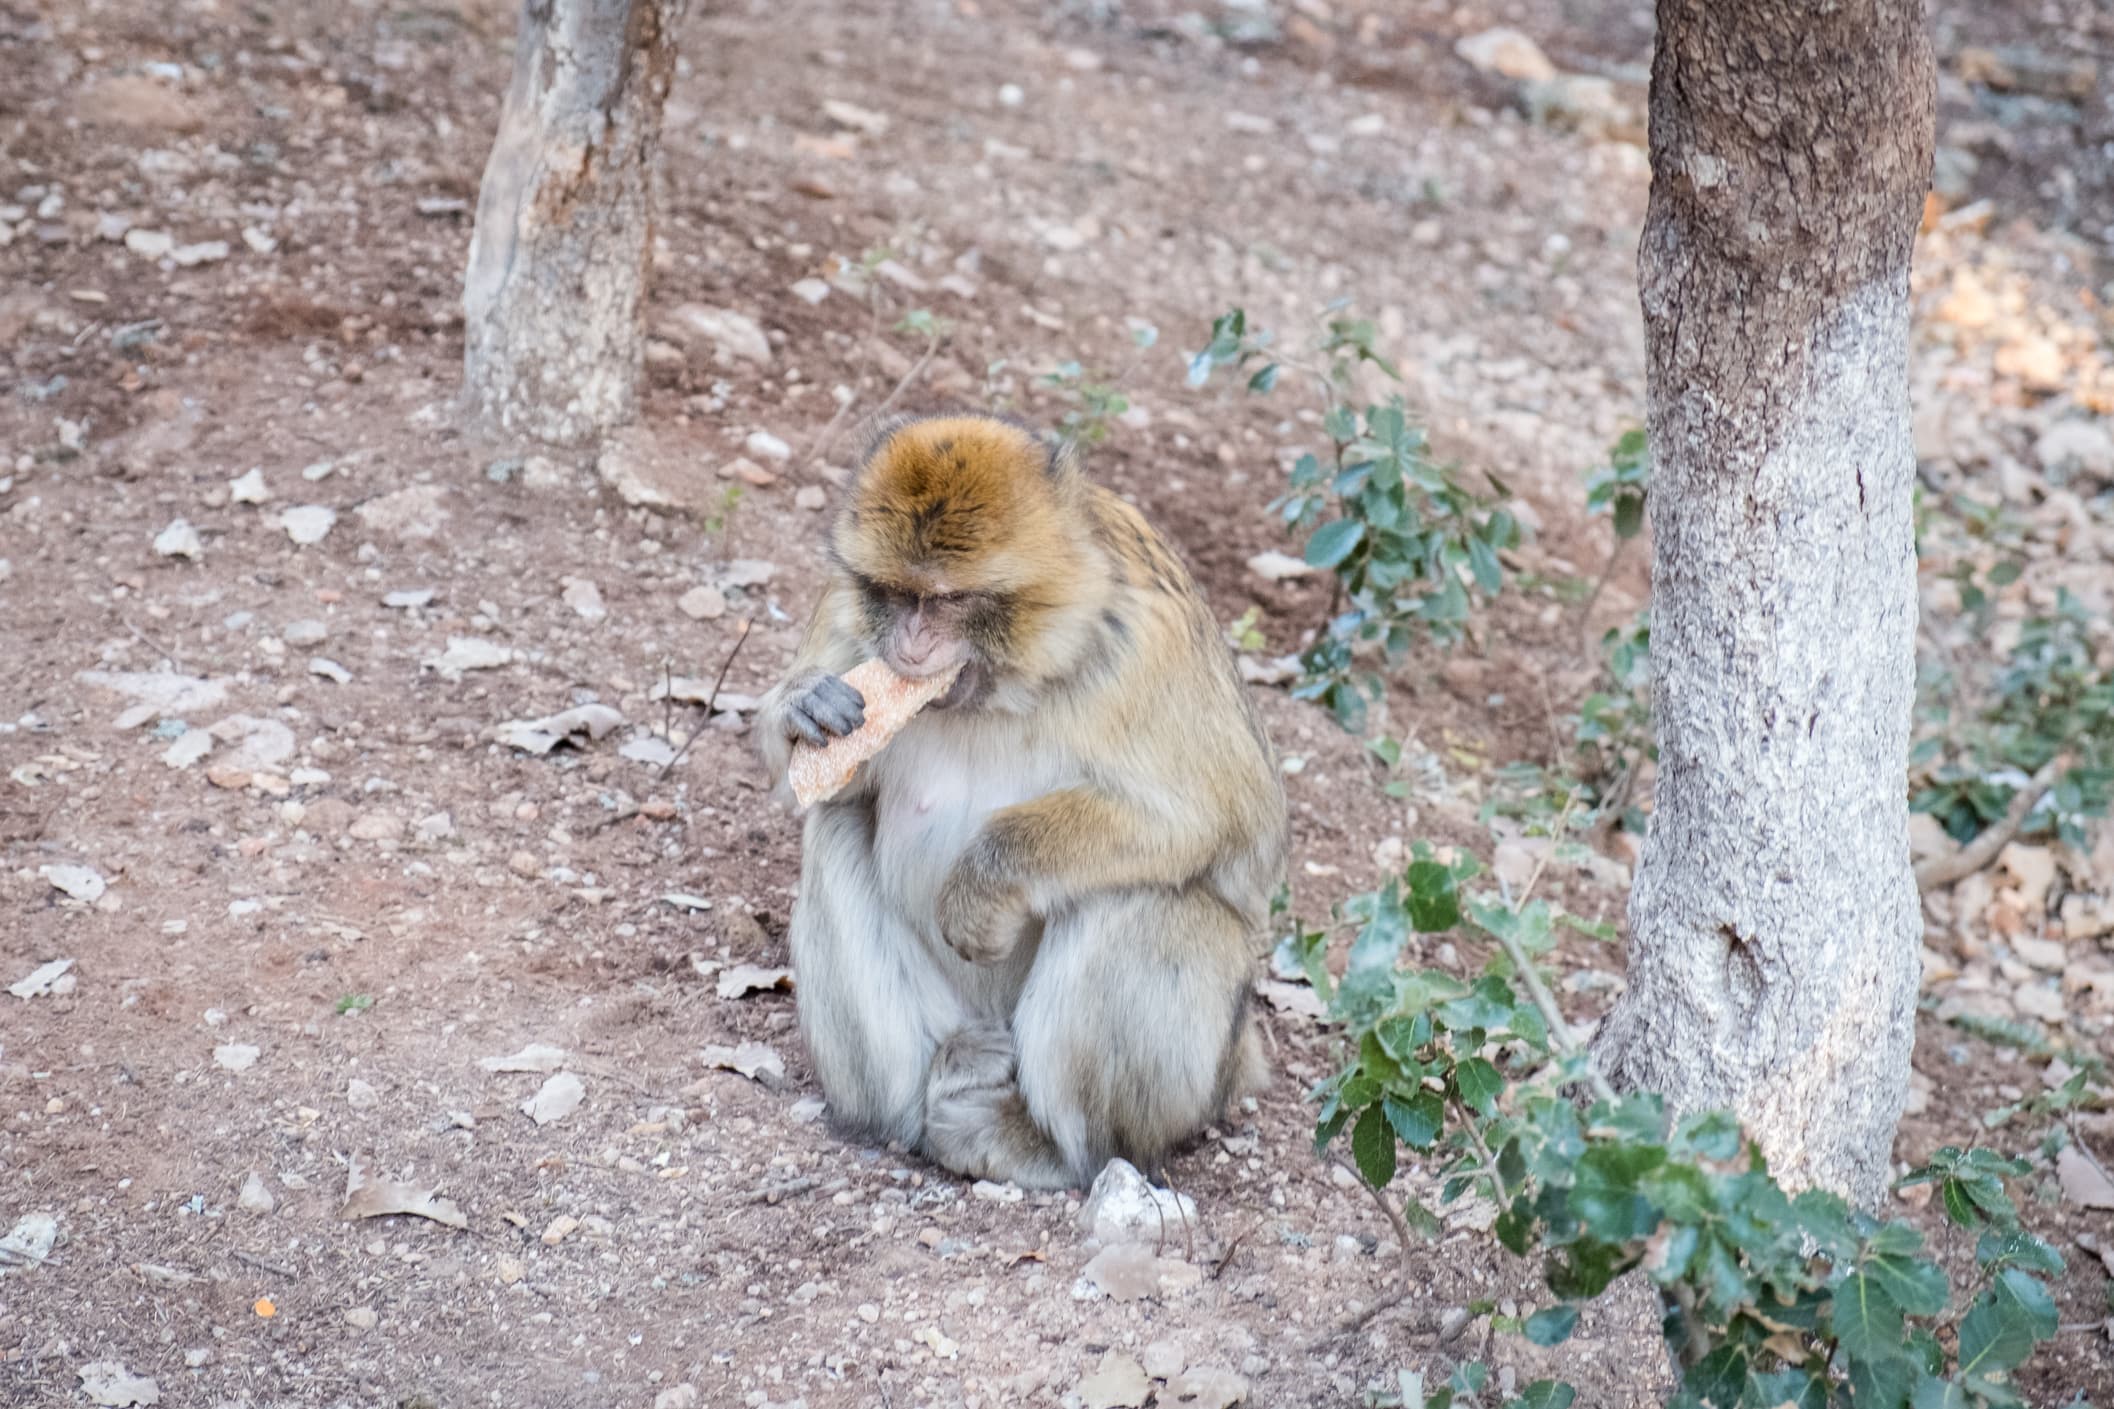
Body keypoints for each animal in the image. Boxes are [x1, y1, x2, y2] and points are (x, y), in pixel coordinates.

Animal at [761, 409, 1285, 1191]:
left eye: (948, 600)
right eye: (898, 594)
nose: (910, 647)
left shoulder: (1145, 646)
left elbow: (1208, 819)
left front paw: (985, 880)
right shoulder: (846, 611)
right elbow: (823, 781)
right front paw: (802, 707)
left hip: (1202, 1075)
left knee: (1146, 900)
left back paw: (1046, 1146)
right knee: (832, 831)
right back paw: (907, 1109)